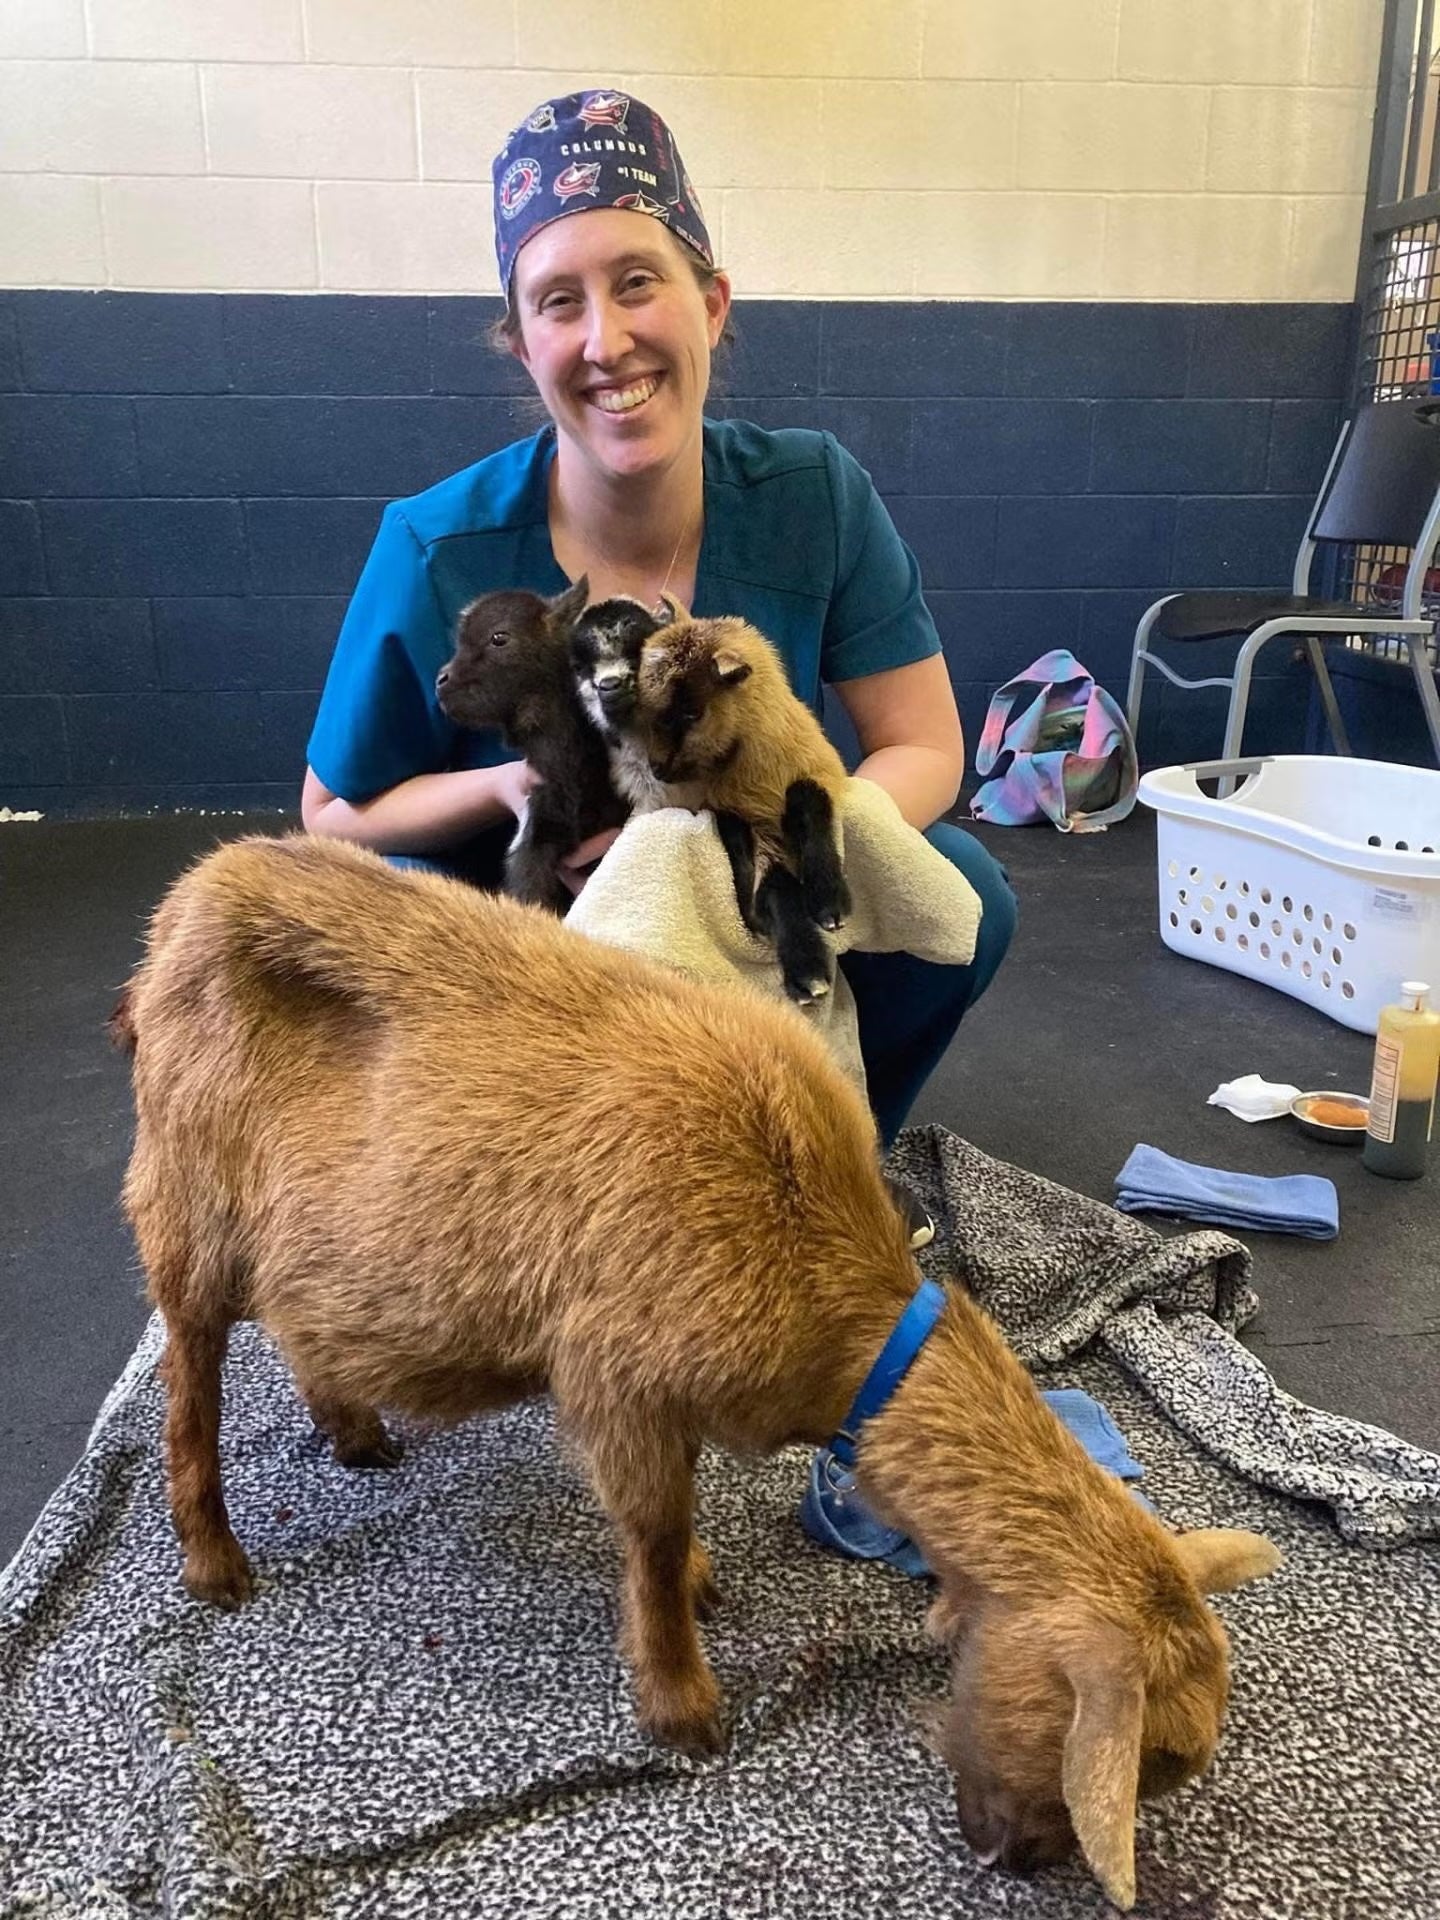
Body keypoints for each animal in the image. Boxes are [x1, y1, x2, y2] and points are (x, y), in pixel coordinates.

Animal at [114, 833, 1279, 1910]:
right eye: (1123, 1758)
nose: (1014, 1861)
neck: (839, 1307)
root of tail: (183, 903)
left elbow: (677, 1521)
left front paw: (697, 1591)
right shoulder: (616, 1379)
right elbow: (655, 1527)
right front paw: (681, 1702)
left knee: (297, 1322)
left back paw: (353, 1431)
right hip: (183, 1199)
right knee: (188, 1382)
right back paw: (213, 1562)